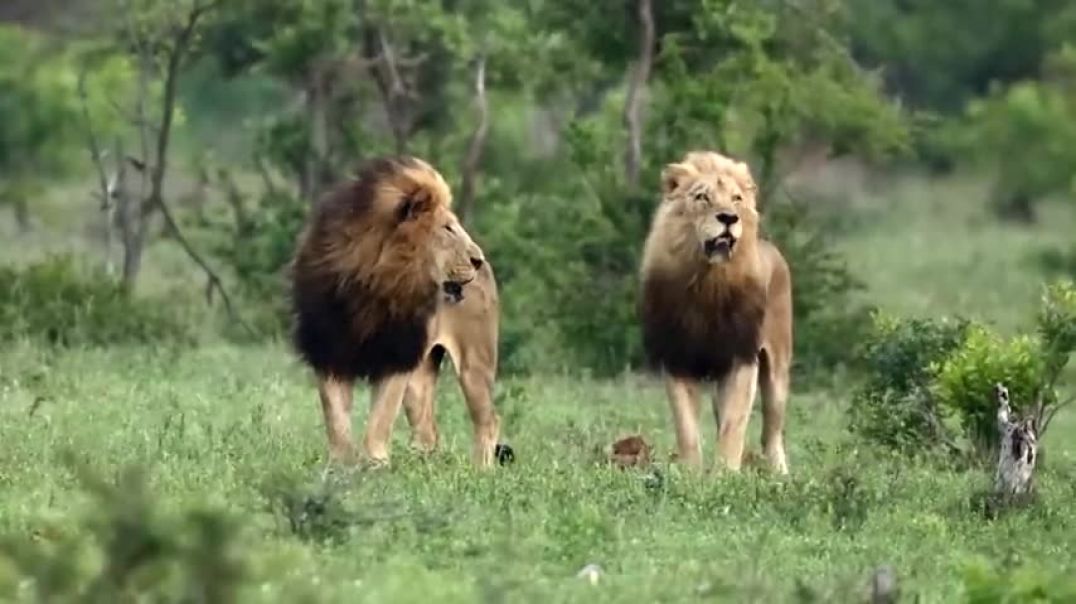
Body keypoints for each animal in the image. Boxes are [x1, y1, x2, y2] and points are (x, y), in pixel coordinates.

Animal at [288, 153, 501, 467]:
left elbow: (381, 418)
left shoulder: (397, 354)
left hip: (474, 362)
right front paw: (341, 464)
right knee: (428, 430)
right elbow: (335, 417)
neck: (373, 282)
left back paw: (480, 470)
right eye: (447, 228)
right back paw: (422, 463)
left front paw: (375, 463)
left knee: (489, 420)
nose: (478, 260)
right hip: (420, 376)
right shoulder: (330, 351)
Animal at [636, 149, 791, 471]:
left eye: (736, 199)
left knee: (772, 431)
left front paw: (725, 473)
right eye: (702, 197)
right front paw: (691, 473)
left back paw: (780, 473)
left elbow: (734, 425)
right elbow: (687, 428)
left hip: (777, 370)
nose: (729, 218)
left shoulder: (741, 358)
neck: (708, 282)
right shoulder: (677, 360)